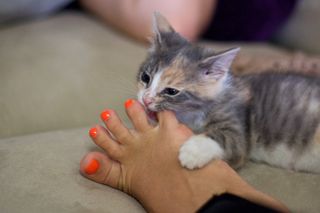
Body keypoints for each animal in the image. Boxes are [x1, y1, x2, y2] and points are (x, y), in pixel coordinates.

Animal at [136, 12, 320, 173]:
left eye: (171, 91)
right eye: (145, 77)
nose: (146, 99)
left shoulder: (239, 131)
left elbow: (226, 139)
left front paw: (192, 152)